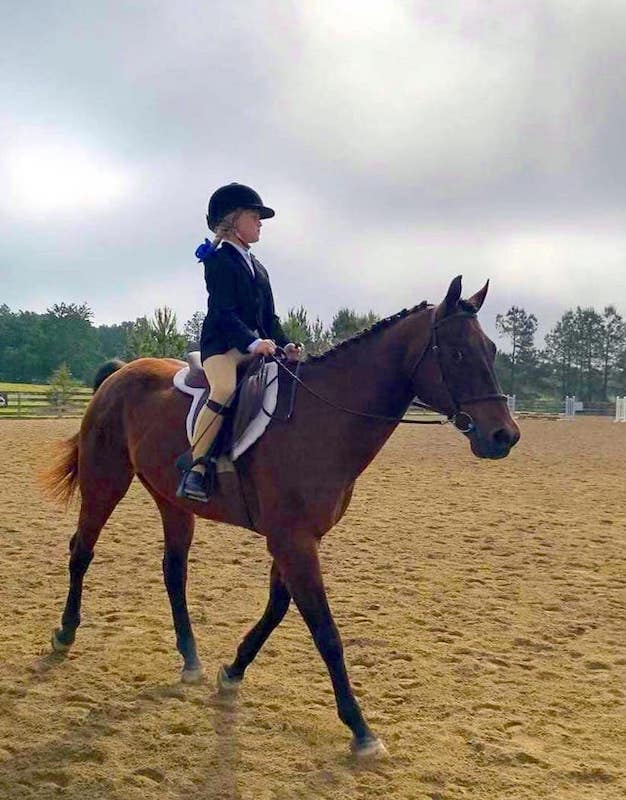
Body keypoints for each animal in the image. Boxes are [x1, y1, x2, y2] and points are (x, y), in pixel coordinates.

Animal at [43, 276, 519, 757]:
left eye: (491, 349)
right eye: (456, 353)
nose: (505, 436)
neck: (324, 419)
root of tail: (119, 374)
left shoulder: (297, 538)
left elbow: (277, 607)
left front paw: (232, 670)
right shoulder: (293, 540)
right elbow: (325, 631)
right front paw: (361, 730)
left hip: (172, 502)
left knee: (173, 570)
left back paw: (191, 659)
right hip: (105, 480)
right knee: (82, 550)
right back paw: (65, 632)